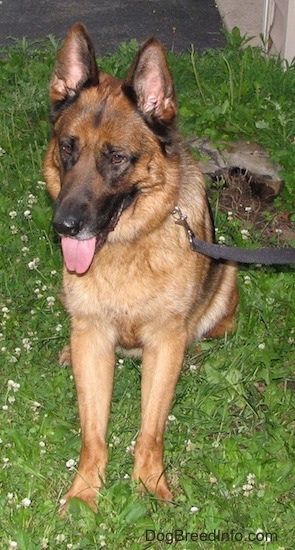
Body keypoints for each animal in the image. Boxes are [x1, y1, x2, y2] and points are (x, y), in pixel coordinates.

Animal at [43, 21, 238, 512]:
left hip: (226, 276)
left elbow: (151, 430)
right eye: (68, 148)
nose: (63, 225)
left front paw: (150, 485)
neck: (128, 246)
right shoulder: (93, 337)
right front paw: (85, 491)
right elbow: (93, 435)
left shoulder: (164, 341)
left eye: (116, 157)